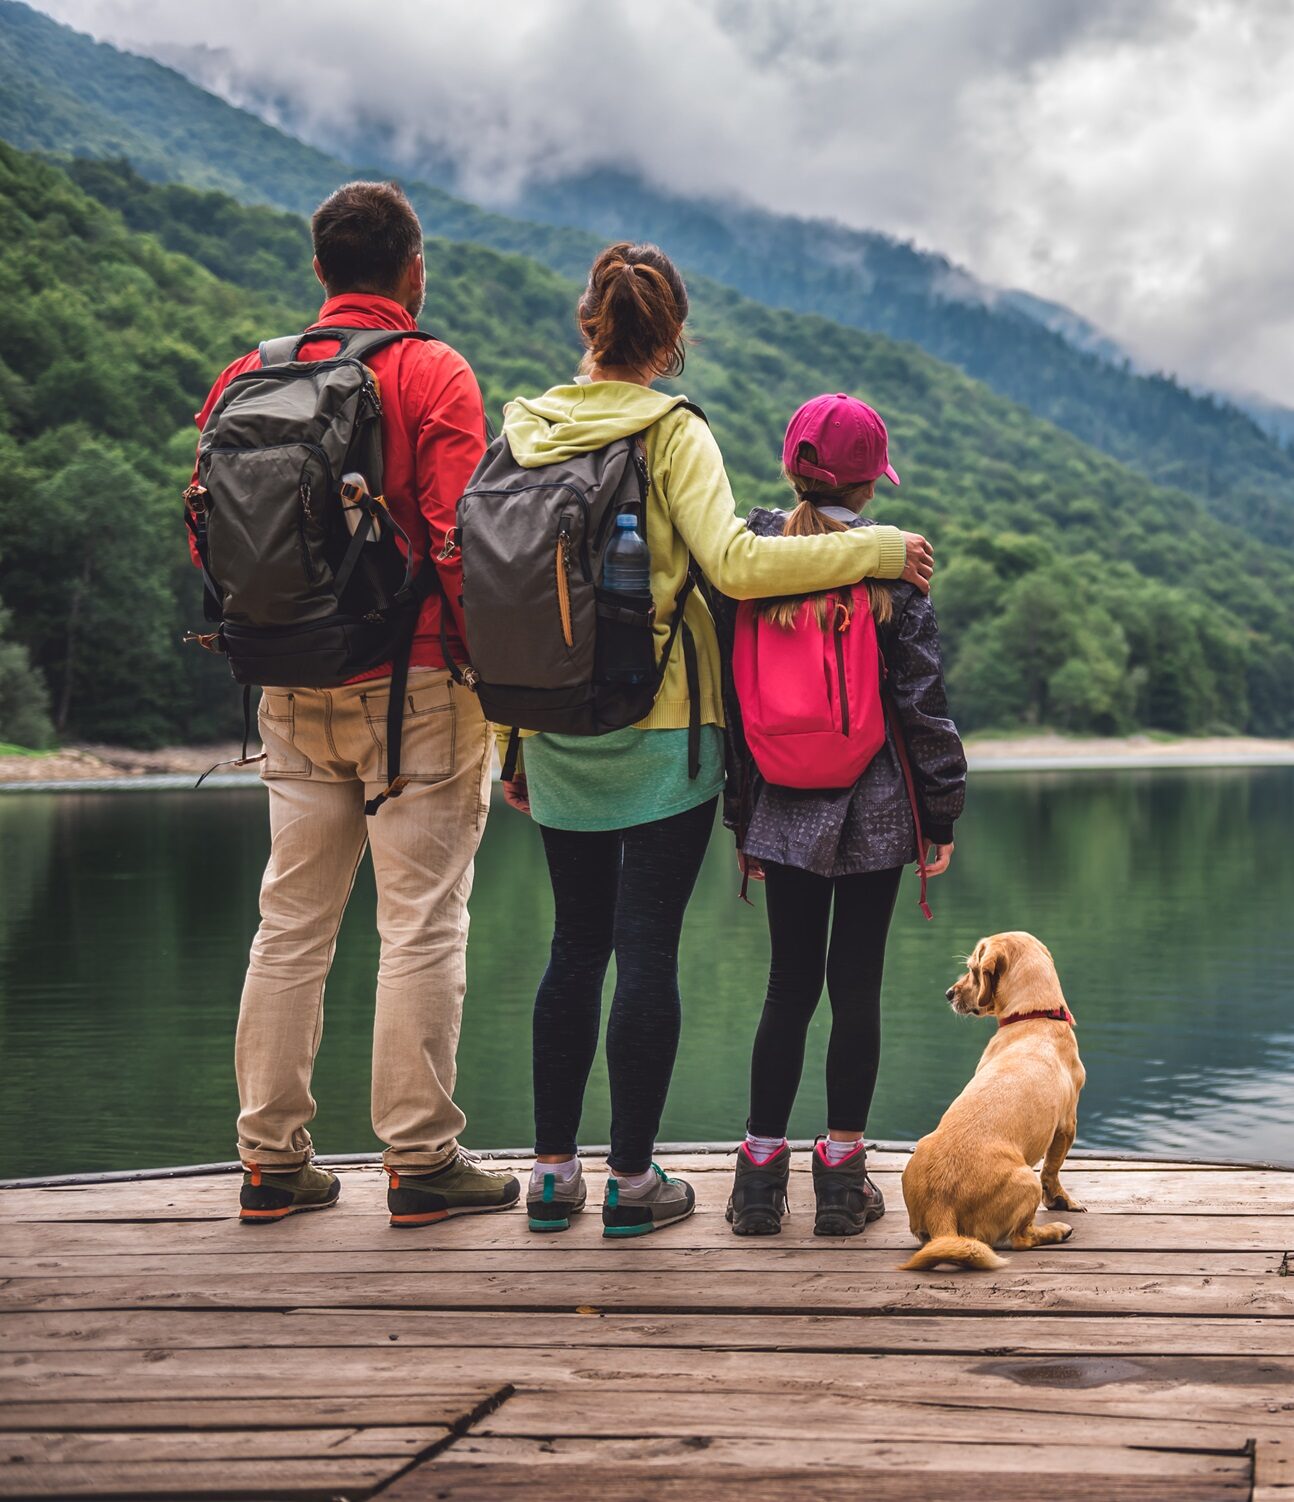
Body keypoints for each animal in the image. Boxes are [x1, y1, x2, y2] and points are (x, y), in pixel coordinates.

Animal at [906, 931, 1086, 1273]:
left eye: (972, 970)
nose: (948, 993)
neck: (1034, 1016)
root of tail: (941, 1204)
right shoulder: (1067, 1125)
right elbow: (1052, 1170)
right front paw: (1062, 1201)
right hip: (1027, 1183)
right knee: (1020, 1238)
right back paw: (1056, 1231)